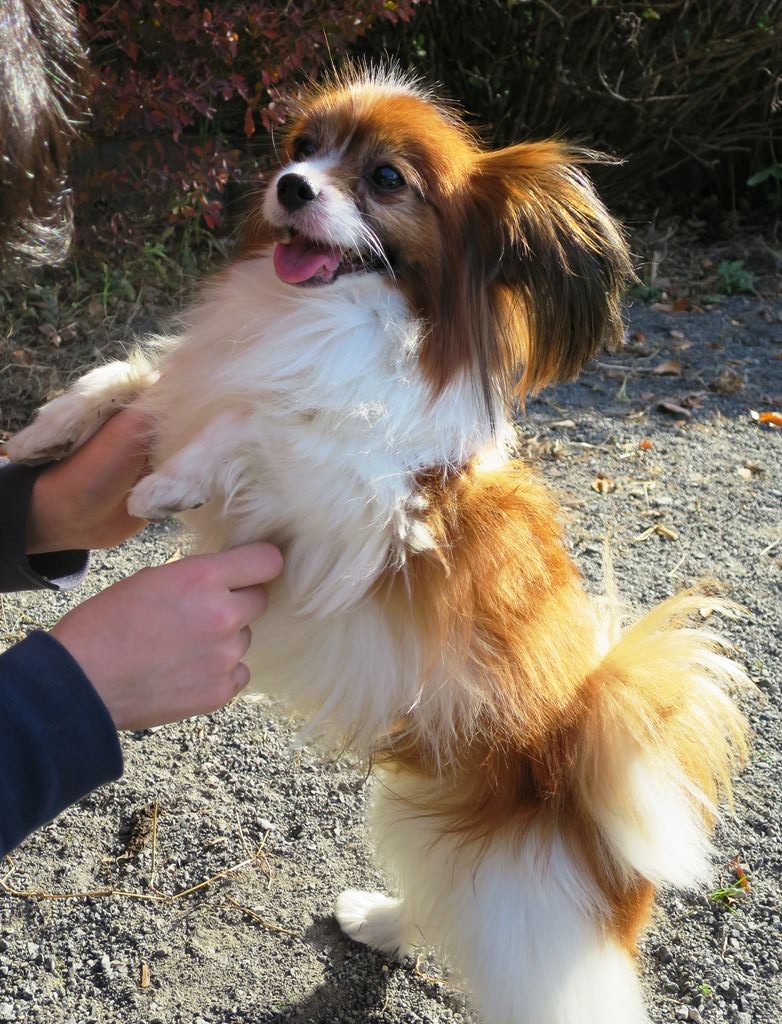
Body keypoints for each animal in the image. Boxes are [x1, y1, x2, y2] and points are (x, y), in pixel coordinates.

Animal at [9, 65, 748, 1024]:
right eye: (301, 149)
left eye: (386, 179)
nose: (290, 188)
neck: (328, 320)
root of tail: (583, 746)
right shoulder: (201, 377)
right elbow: (133, 378)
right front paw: (43, 432)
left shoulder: (356, 508)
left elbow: (257, 420)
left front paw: (169, 482)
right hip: (419, 810)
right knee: (432, 892)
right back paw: (379, 921)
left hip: (527, 918)